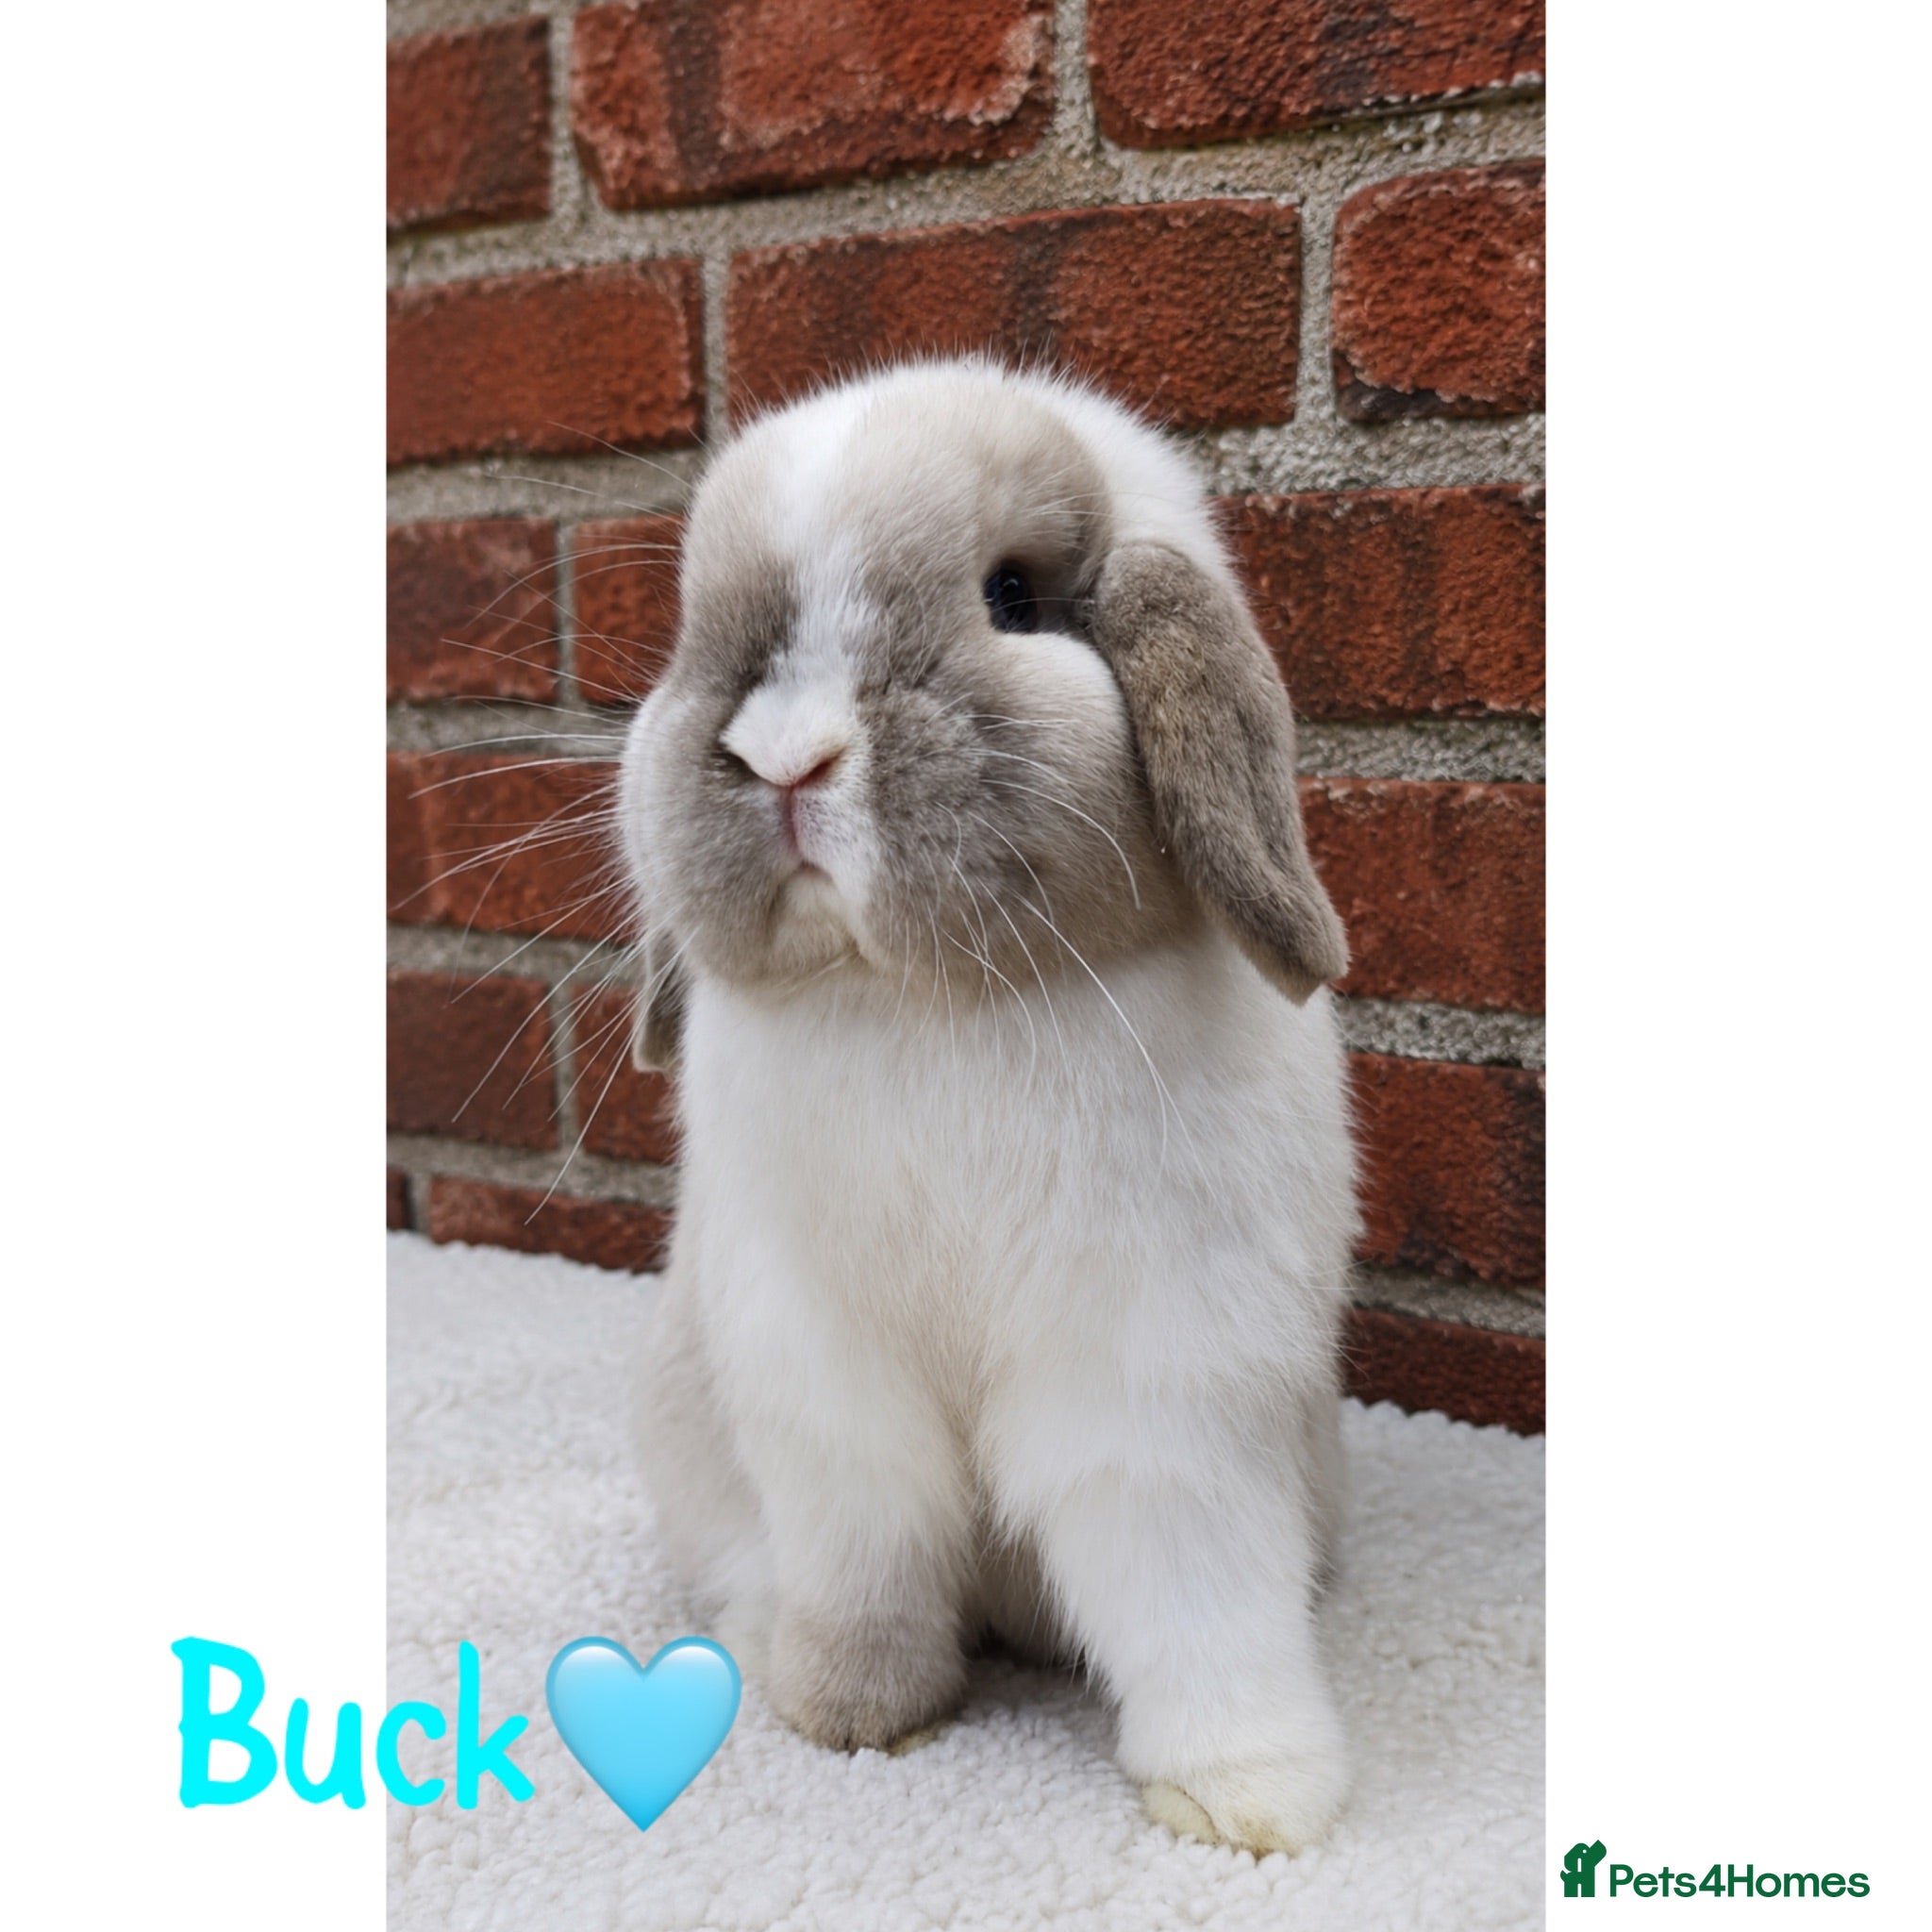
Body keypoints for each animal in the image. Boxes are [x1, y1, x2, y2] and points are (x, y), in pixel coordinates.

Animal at [615, 357, 1359, 1856]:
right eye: (699, 626)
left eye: (1012, 597)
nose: (783, 757)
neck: (925, 1009)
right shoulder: (822, 1378)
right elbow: (865, 1548)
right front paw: (847, 1713)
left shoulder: (1163, 1378)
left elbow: (1192, 1587)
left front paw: (1252, 1799)